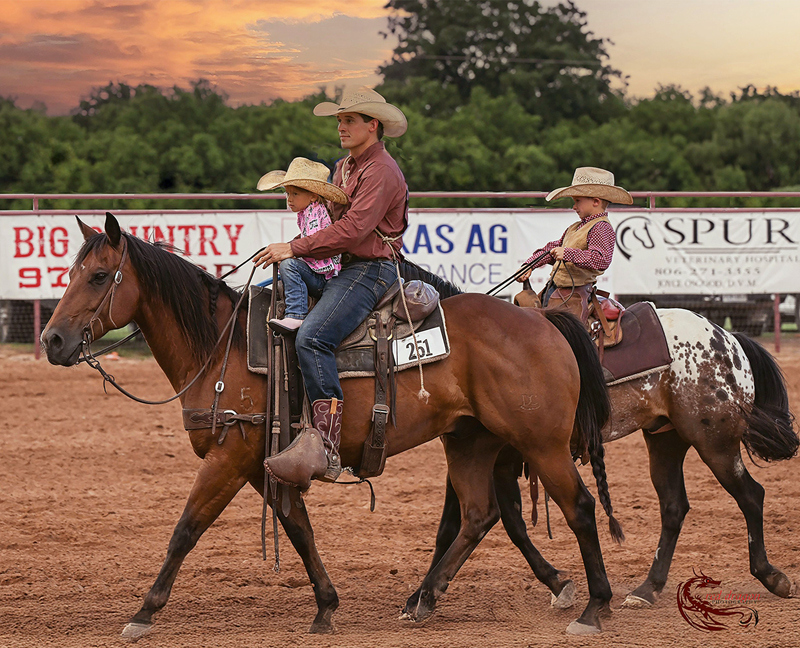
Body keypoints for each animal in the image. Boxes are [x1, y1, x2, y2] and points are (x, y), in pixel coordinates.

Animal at [42, 213, 619, 638]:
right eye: (69, 274)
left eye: (98, 276)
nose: (52, 340)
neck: (219, 347)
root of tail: (541, 320)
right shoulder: (263, 461)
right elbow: (297, 526)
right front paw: (325, 605)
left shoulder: (229, 457)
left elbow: (186, 528)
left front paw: (143, 612)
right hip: (470, 441)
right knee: (480, 515)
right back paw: (424, 599)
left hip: (540, 443)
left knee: (578, 507)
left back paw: (594, 608)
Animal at [404, 306, 799, 616]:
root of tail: (727, 338)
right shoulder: (488, 457)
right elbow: (463, 525)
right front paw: (421, 595)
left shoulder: (502, 457)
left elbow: (496, 524)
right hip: (665, 439)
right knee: (674, 506)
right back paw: (647, 589)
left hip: (714, 442)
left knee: (751, 495)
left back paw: (771, 576)